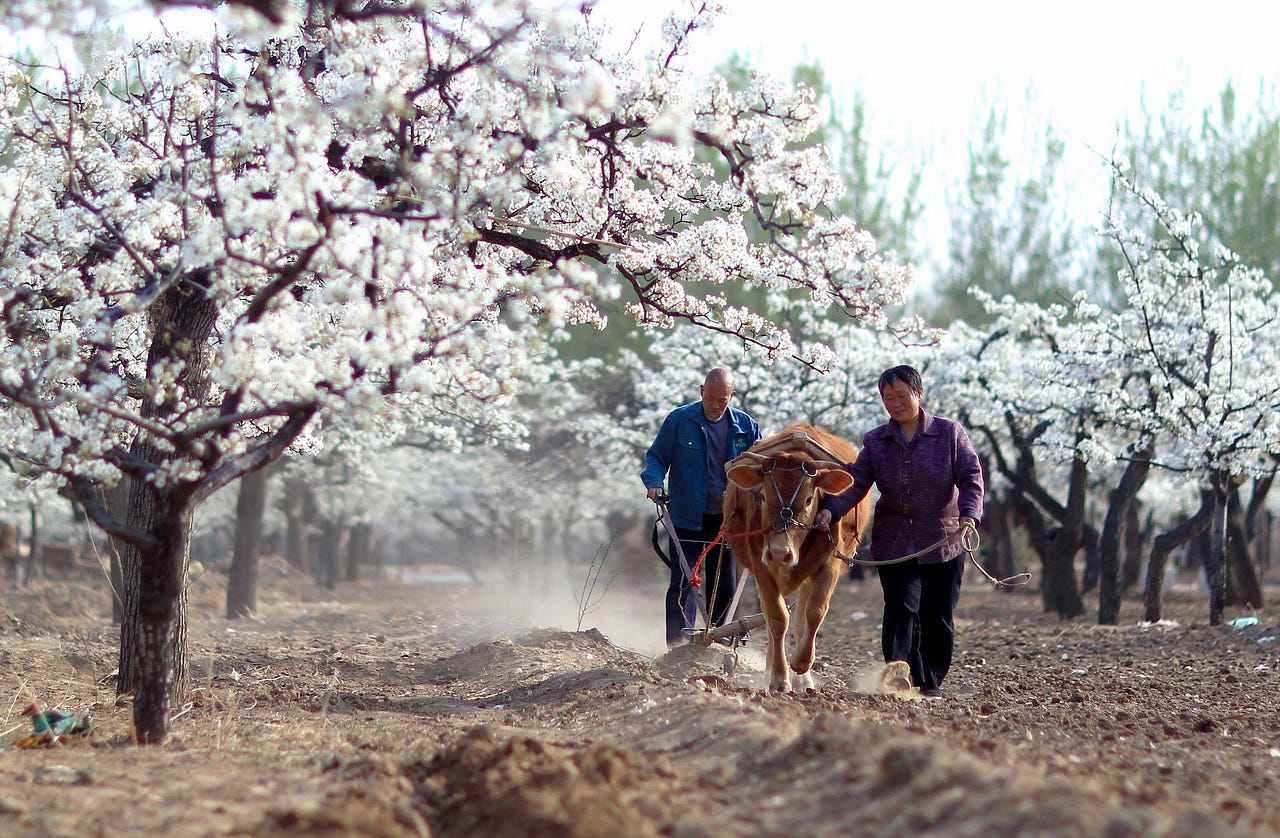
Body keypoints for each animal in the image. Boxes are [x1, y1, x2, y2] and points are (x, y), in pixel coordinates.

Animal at [721, 427, 870, 695]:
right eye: (763, 496)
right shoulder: (762, 567)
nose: (780, 552)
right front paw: (779, 678)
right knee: (773, 617)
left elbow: (814, 613)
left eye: (809, 499)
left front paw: (801, 663)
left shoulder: (828, 566)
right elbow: (777, 618)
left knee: (801, 617)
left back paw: (804, 680)